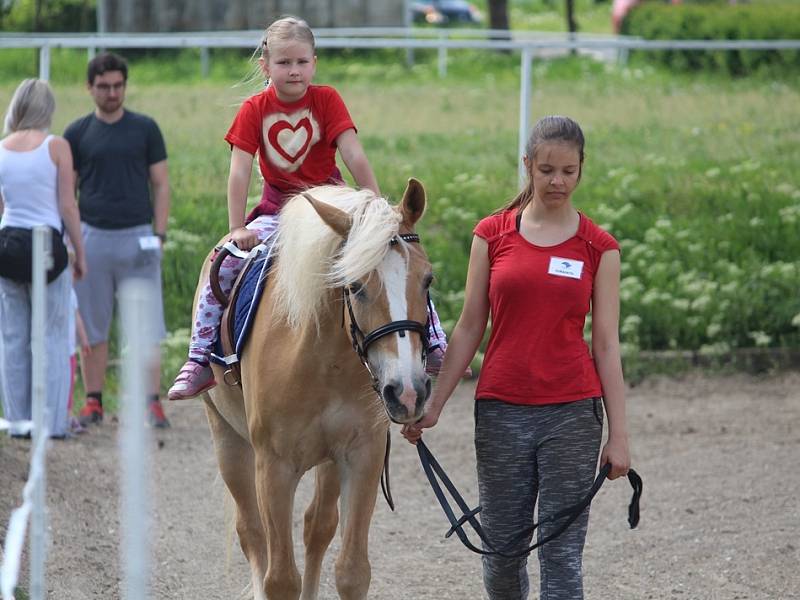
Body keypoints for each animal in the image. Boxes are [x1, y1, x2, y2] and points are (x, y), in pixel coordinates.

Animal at [199, 179, 434, 600]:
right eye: (354, 286)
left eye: (428, 280)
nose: (408, 392)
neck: (320, 358)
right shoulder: (273, 468)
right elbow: (280, 578)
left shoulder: (361, 457)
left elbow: (352, 571)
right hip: (228, 441)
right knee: (251, 532)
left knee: (317, 526)